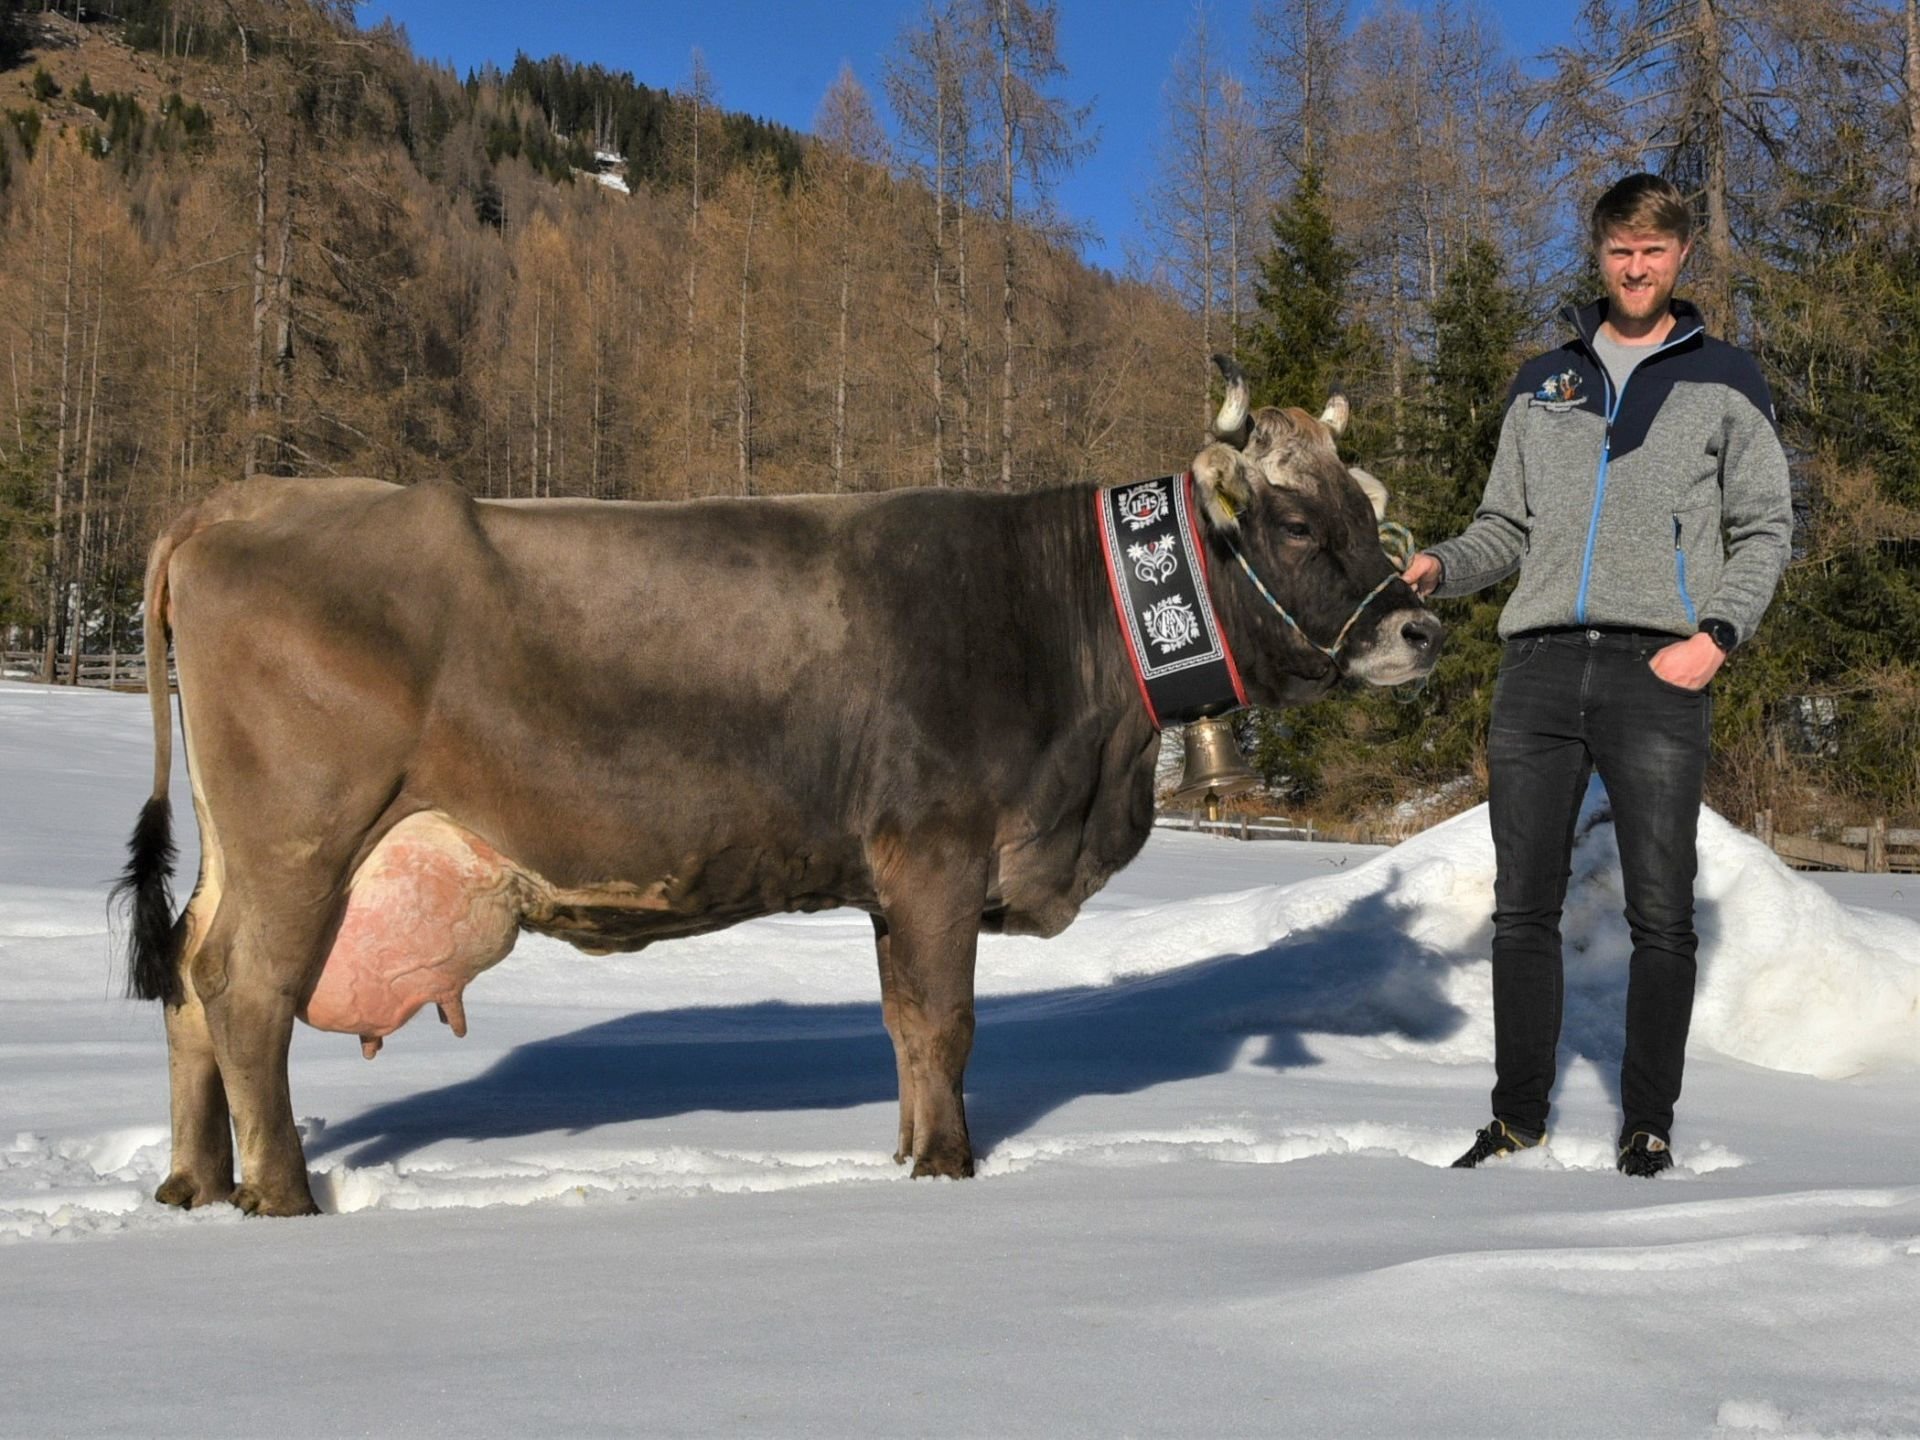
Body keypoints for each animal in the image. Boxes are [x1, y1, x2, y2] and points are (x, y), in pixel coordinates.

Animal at [116, 362, 1443, 1221]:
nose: (1420, 624)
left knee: (186, 974)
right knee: (247, 993)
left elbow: (904, 1025)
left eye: (1371, 509)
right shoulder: (936, 850)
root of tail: (236, 500)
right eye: (1291, 519)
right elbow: (946, 1022)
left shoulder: (892, 881)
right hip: (303, 838)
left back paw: (194, 1183)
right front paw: (949, 1172)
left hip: (247, 849)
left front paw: (911, 1160)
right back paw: (281, 1197)